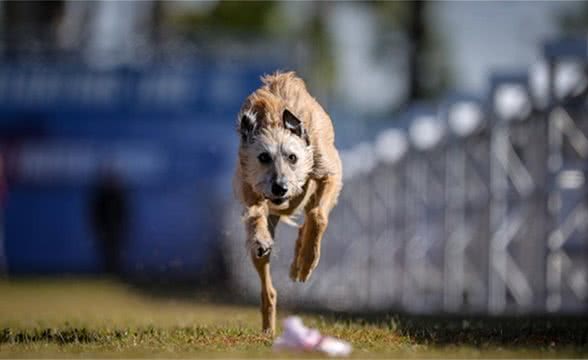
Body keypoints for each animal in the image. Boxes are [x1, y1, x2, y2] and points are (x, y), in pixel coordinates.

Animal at [234, 70, 342, 334]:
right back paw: (268, 327)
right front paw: (261, 237)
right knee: (268, 289)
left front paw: (307, 261)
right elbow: (254, 212)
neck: (275, 120)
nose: (280, 188)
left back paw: (298, 262)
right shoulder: (250, 182)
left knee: (308, 219)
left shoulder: (327, 170)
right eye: (263, 157)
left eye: (292, 157)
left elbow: (318, 216)